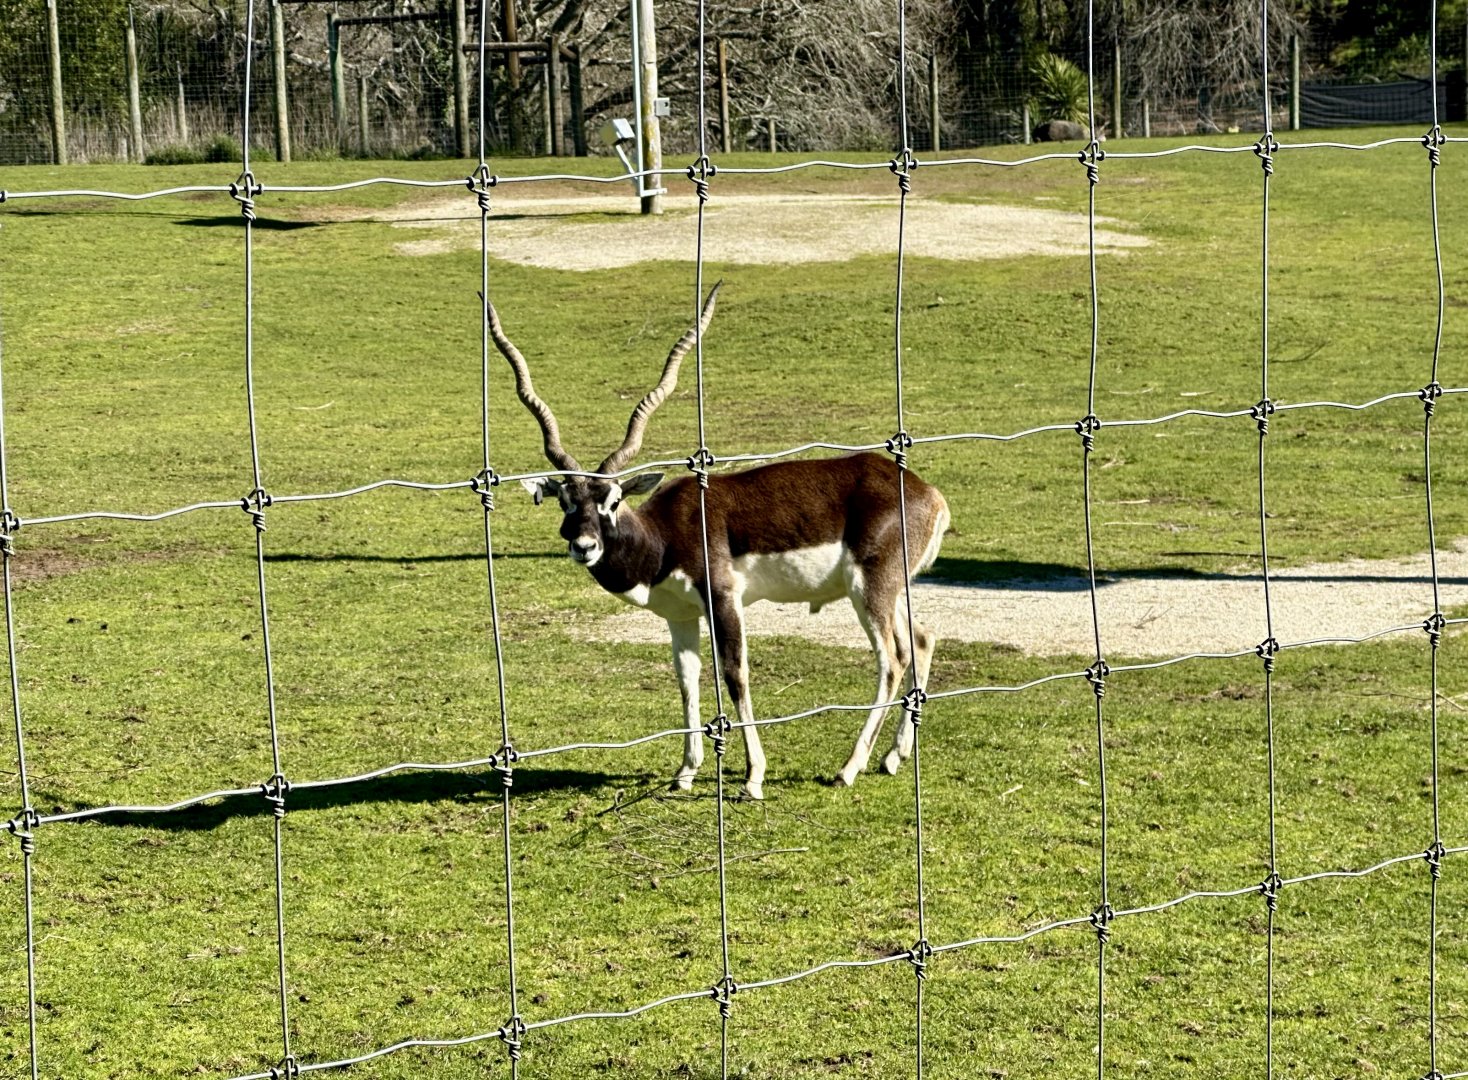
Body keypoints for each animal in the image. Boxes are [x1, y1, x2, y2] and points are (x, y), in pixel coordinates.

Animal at [489, 283, 950, 800]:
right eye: (566, 502)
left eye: (611, 500)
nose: (584, 546)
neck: (664, 535)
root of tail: (927, 493)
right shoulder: (680, 616)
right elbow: (687, 681)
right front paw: (685, 772)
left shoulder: (723, 599)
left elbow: (734, 675)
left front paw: (753, 777)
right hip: (893, 590)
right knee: (922, 641)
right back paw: (892, 757)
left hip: (869, 589)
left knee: (892, 659)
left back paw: (849, 767)